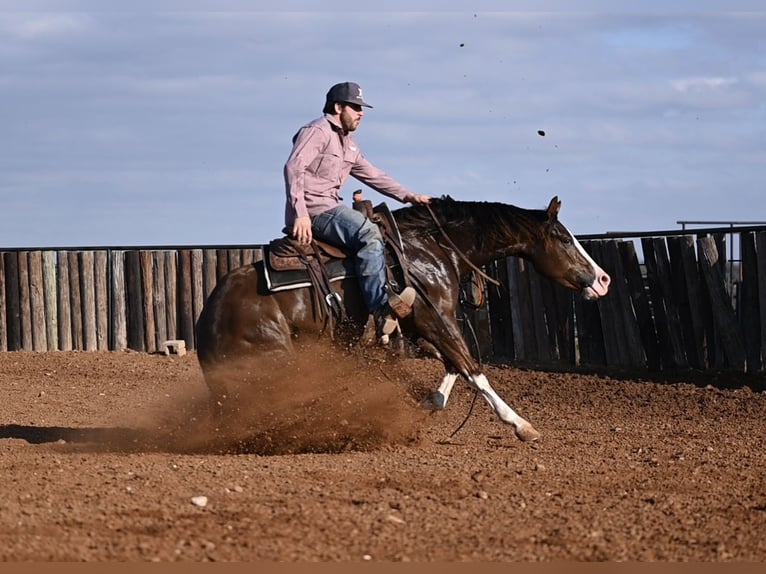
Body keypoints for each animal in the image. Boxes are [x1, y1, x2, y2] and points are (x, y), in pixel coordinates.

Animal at [196, 196, 612, 444]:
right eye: (563, 238)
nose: (603, 279)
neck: (431, 248)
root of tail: (209, 318)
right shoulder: (436, 318)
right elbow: (472, 368)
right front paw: (521, 425)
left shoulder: (422, 326)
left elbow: (452, 367)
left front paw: (429, 401)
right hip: (273, 361)